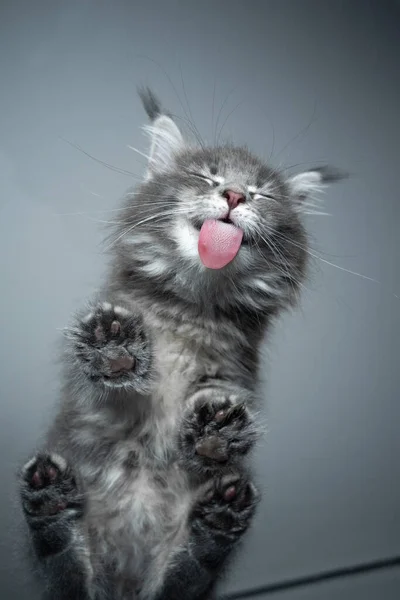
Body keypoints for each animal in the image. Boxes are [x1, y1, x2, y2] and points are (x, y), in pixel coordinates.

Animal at [18, 89, 344, 600]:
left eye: (263, 193)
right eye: (207, 177)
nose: (234, 195)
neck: (191, 308)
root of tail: (125, 586)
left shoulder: (235, 372)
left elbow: (215, 421)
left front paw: (217, 429)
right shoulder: (90, 400)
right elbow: (113, 387)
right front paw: (116, 347)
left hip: (190, 576)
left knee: (189, 573)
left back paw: (217, 524)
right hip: (62, 569)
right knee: (64, 569)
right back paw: (51, 504)